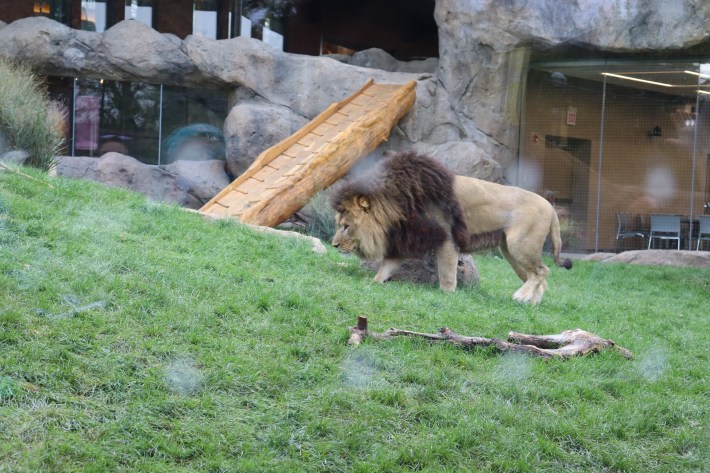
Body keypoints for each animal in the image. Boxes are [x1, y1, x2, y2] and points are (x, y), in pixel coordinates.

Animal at [332, 153, 572, 304]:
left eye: (346, 227)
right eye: (338, 224)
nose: (334, 245)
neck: (397, 208)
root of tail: (550, 207)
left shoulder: (446, 239)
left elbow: (446, 273)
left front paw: (446, 294)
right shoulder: (408, 237)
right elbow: (386, 268)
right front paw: (373, 282)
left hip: (520, 245)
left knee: (543, 271)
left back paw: (521, 297)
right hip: (510, 252)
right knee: (539, 278)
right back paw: (531, 303)